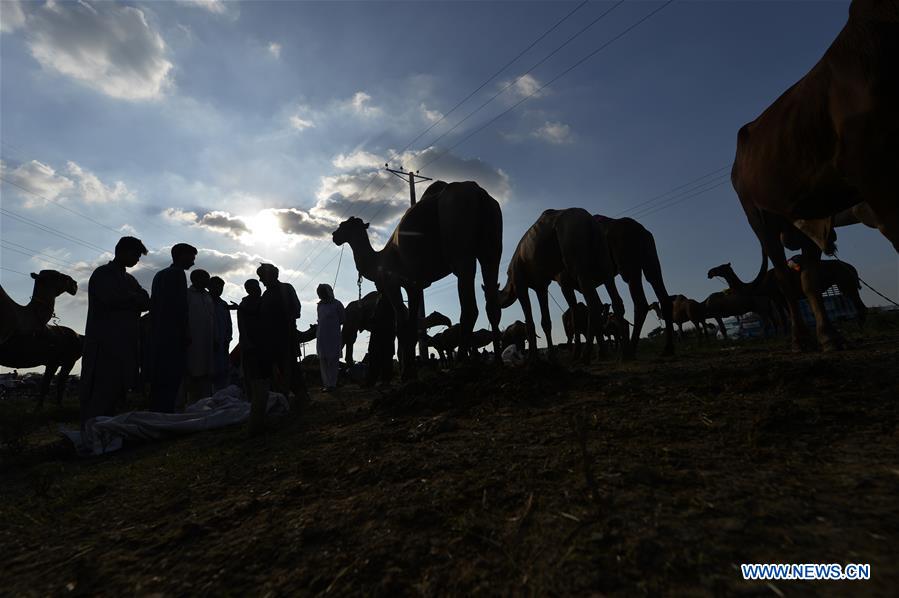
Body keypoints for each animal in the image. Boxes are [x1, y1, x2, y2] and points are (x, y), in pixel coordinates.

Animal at [336, 182, 506, 380]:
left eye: (343, 225)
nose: (334, 235)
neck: (379, 260)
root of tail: (479, 194)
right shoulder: (414, 284)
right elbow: (410, 325)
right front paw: (410, 372)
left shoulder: (393, 282)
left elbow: (402, 323)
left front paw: (406, 373)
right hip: (492, 247)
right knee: (492, 302)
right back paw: (498, 362)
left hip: (460, 244)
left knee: (470, 307)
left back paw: (462, 363)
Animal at [496, 209, 624, 364]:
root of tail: (589, 220)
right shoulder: (541, 286)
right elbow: (546, 322)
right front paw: (551, 357)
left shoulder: (520, 284)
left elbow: (530, 323)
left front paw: (533, 360)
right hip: (603, 256)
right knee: (614, 298)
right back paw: (623, 353)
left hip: (576, 257)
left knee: (594, 304)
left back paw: (587, 355)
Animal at [592, 216, 676, 356]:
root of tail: (641, 230)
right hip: (650, 257)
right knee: (661, 293)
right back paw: (668, 348)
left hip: (627, 262)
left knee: (640, 303)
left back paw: (629, 351)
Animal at [712, 262, 864, 328]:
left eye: (721, 267)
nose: (710, 272)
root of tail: (852, 268)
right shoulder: (776, 299)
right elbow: (783, 316)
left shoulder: (780, 296)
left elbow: (786, 316)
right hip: (847, 283)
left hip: (845, 282)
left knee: (858, 304)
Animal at [732, 1, 899, 352]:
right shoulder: (870, 168)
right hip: (759, 217)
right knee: (784, 276)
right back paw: (801, 337)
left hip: (805, 214)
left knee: (808, 278)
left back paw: (829, 335)